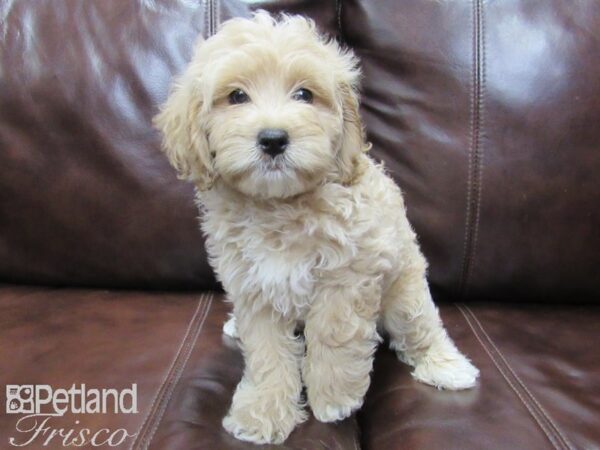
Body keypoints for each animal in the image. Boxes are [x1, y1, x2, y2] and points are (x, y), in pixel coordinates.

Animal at [154, 12, 478, 444]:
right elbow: (267, 353)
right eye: (236, 97)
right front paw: (263, 413)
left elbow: (334, 334)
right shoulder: (254, 286)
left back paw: (446, 366)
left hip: (405, 292)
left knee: (422, 328)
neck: (279, 205)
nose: (273, 139)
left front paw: (335, 397)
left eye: (304, 95)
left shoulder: (347, 276)